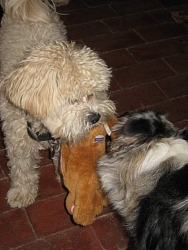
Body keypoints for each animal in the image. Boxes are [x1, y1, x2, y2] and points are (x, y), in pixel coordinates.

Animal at [0, 0, 115, 209]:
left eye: (93, 93)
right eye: (72, 100)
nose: (95, 117)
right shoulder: (17, 141)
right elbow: (22, 169)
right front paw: (22, 192)